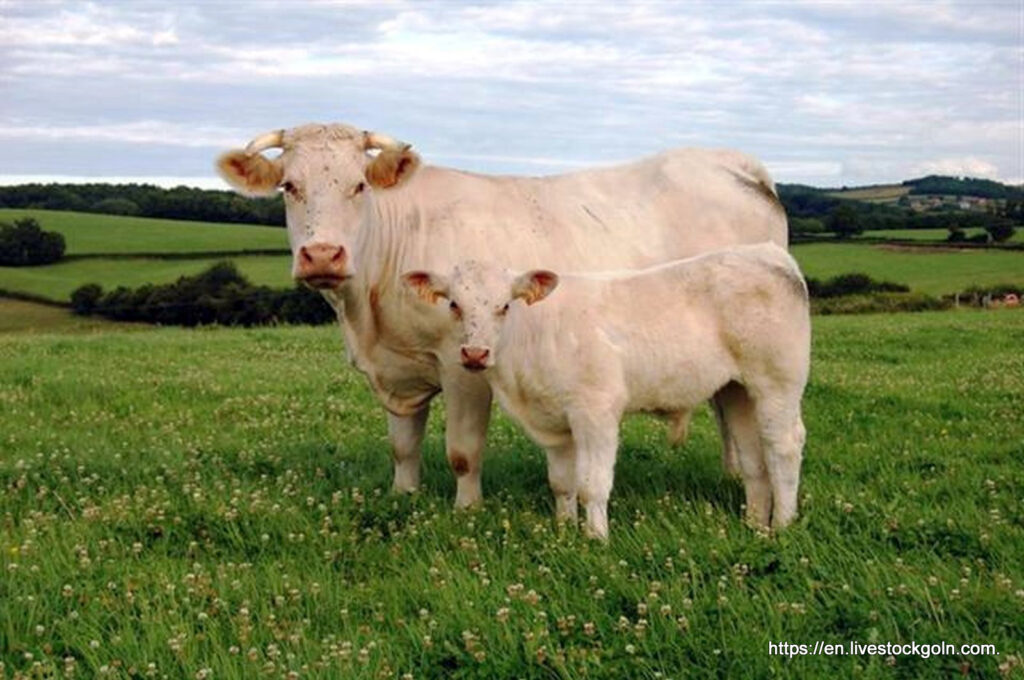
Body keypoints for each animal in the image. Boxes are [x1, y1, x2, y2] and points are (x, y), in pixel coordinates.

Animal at [217, 123, 787, 508]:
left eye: (359, 186)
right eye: (289, 187)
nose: (322, 255)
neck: (368, 317)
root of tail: (731, 162)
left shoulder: (462, 362)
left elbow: (463, 451)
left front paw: (466, 509)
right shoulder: (397, 369)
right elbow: (402, 447)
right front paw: (404, 497)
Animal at [402, 243, 811, 539]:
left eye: (505, 306)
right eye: (454, 304)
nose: (474, 354)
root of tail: (769, 252)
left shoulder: (595, 411)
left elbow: (591, 485)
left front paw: (596, 538)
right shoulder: (554, 423)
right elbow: (562, 484)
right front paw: (564, 530)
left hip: (777, 382)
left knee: (784, 446)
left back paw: (782, 524)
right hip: (735, 389)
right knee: (752, 455)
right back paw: (755, 523)